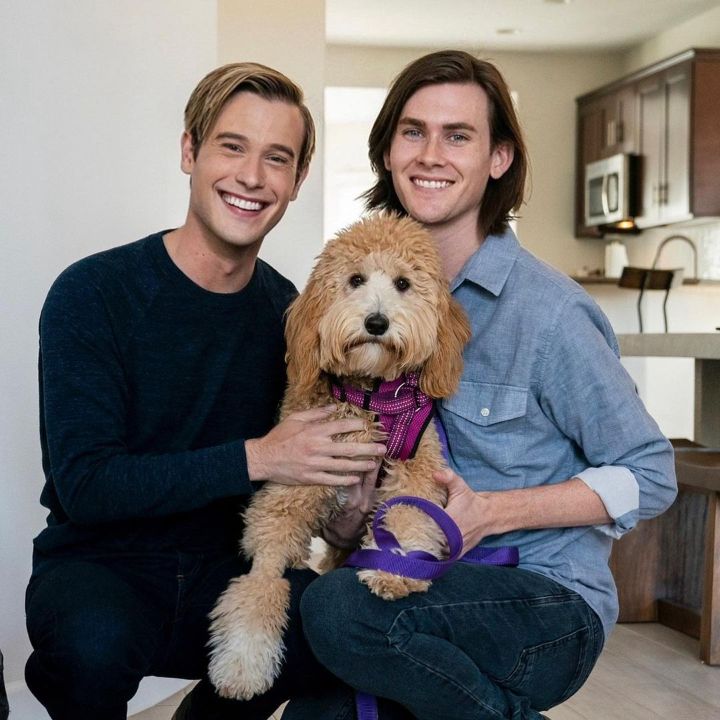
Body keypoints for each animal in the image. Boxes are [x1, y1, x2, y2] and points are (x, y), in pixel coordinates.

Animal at [207, 211, 472, 700]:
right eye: (355, 280)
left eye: (403, 283)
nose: (376, 322)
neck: (370, 397)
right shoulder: (288, 493)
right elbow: (261, 581)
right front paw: (243, 664)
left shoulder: (418, 469)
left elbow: (408, 513)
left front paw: (395, 569)